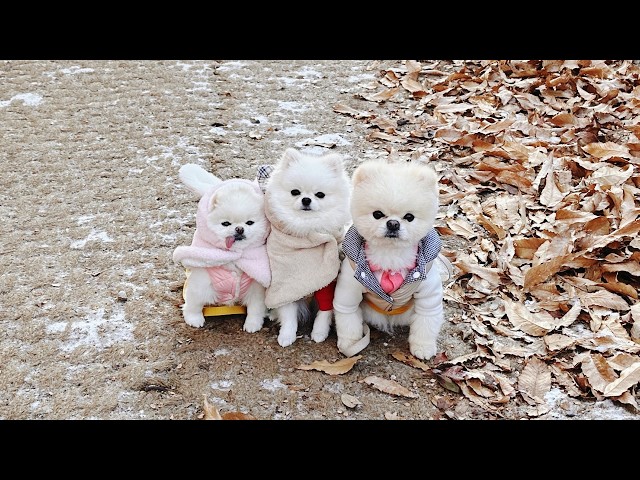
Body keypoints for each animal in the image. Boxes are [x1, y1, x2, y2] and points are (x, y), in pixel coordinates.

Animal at [172, 163, 270, 332]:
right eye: (226, 223)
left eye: (250, 223)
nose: (239, 229)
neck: (235, 256)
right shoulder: (200, 282)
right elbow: (194, 304)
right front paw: (194, 318)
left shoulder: (256, 288)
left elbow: (255, 309)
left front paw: (252, 324)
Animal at [262, 148, 350, 346]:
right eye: (295, 192)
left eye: (320, 194)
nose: (306, 200)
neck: (308, 230)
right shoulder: (286, 282)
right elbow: (288, 314)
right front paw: (286, 335)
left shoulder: (327, 280)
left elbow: (325, 310)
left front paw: (319, 332)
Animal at [332, 160, 448, 360]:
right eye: (377, 214)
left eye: (409, 217)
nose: (393, 223)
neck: (390, 256)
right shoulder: (349, 287)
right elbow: (348, 318)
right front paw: (351, 344)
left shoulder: (428, 291)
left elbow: (426, 320)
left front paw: (423, 347)